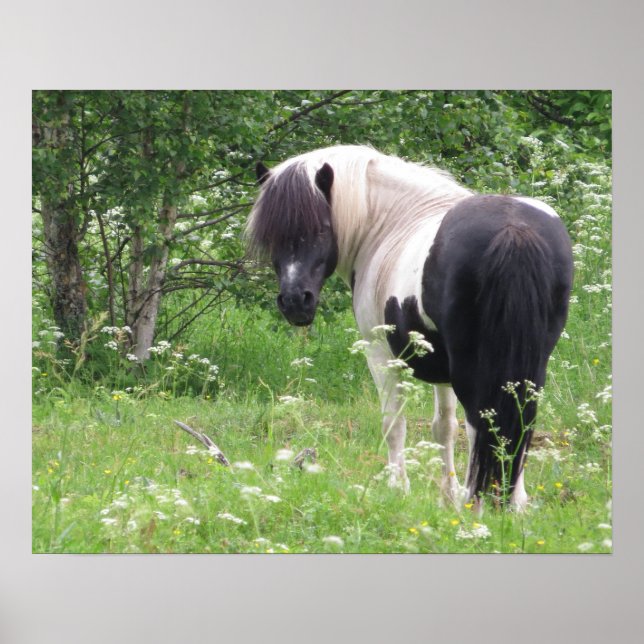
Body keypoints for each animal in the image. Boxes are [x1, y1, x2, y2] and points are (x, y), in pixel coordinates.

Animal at [246, 145, 573, 510]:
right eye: (271, 235)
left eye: (320, 229)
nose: (294, 302)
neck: (389, 223)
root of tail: (513, 231)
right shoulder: (440, 365)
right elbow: (443, 426)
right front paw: (446, 497)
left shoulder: (380, 352)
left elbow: (394, 422)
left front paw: (398, 490)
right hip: (530, 362)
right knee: (519, 419)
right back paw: (512, 501)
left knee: (481, 421)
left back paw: (477, 501)